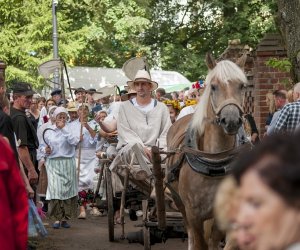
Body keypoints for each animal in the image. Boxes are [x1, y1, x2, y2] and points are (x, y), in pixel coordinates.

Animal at [166, 53, 248, 250]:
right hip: (179, 202)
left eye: (242, 86)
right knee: (190, 232)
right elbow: (200, 241)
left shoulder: (223, 213)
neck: (216, 160)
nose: (231, 120)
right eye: (214, 86)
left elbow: (215, 242)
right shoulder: (194, 214)